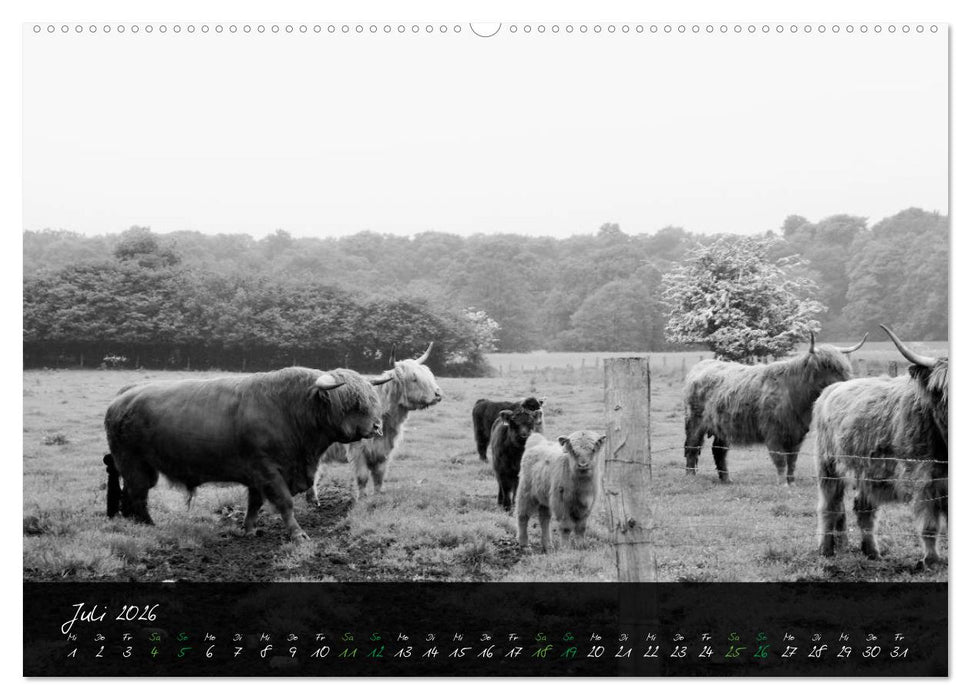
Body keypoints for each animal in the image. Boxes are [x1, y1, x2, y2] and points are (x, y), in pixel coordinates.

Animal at [103, 366, 392, 541]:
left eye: (371, 398)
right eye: (352, 403)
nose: (377, 426)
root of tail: (123, 397)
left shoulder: (257, 475)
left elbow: (254, 503)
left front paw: (249, 529)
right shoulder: (268, 470)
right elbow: (285, 503)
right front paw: (297, 534)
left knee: (131, 493)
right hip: (133, 463)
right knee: (137, 494)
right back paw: (149, 525)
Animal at [309, 342, 442, 501]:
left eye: (429, 374)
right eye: (414, 378)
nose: (438, 394)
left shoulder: (383, 450)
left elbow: (379, 475)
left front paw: (378, 495)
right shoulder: (357, 450)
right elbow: (362, 476)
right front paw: (362, 498)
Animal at [683, 332, 868, 484]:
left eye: (844, 366)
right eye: (828, 366)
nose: (848, 383)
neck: (795, 394)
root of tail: (702, 364)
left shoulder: (797, 434)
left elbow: (792, 461)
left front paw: (791, 482)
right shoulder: (773, 433)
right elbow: (780, 460)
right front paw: (782, 483)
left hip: (722, 427)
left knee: (718, 450)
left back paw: (727, 479)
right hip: (694, 422)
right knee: (691, 447)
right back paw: (691, 476)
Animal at [814, 325, 948, 567]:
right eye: (941, 389)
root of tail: (833, 388)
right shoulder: (921, 480)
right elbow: (930, 525)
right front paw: (931, 560)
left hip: (867, 472)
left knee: (864, 510)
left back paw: (872, 552)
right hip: (827, 467)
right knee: (829, 506)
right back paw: (826, 550)